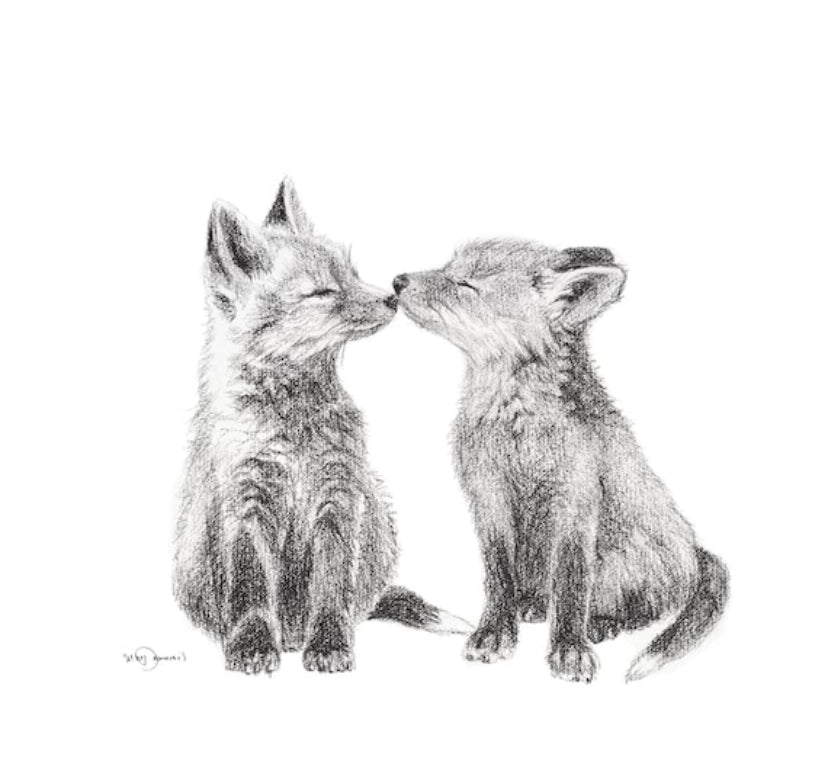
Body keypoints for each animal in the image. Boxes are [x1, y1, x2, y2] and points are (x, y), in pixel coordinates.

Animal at [173, 179, 469, 675]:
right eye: (321, 292)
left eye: (352, 274)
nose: (392, 296)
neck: (294, 428)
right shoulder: (246, 504)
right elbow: (252, 589)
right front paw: (252, 645)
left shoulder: (338, 499)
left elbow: (330, 588)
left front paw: (330, 644)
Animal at [394, 240, 729, 682]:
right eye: (448, 267)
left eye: (466, 284)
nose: (397, 281)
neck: (518, 431)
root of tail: (693, 549)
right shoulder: (488, 498)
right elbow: (499, 579)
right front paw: (495, 632)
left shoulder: (575, 504)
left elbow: (571, 587)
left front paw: (569, 649)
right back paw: (535, 606)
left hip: (625, 563)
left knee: (642, 607)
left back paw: (601, 624)